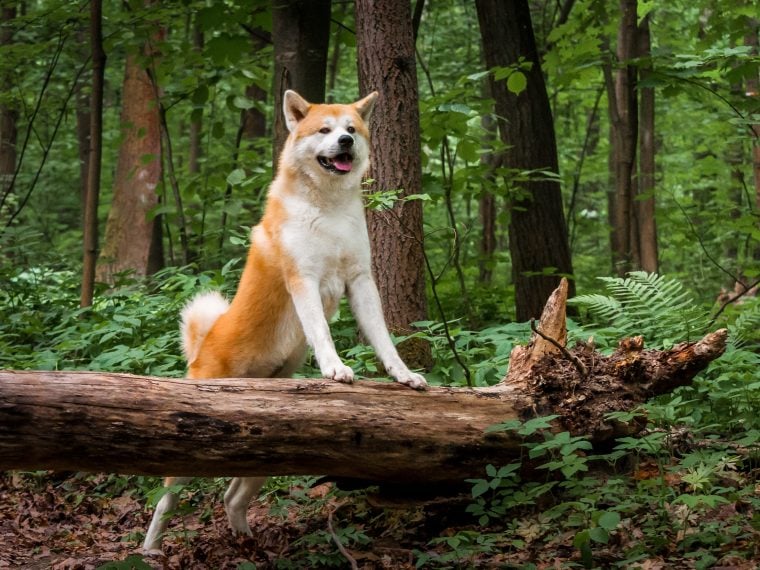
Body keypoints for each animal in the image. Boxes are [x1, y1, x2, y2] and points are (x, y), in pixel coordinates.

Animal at [142, 90, 428, 552]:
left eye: (351, 128)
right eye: (325, 130)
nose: (345, 142)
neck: (329, 210)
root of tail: (203, 344)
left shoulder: (362, 282)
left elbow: (384, 340)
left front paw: (404, 376)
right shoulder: (304, 281)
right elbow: (322, 334)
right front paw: (335, 369)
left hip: (271, 452)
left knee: (232, 496)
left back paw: (247, 542)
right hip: (187, 457)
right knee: (167, 499)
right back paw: (149, 548)